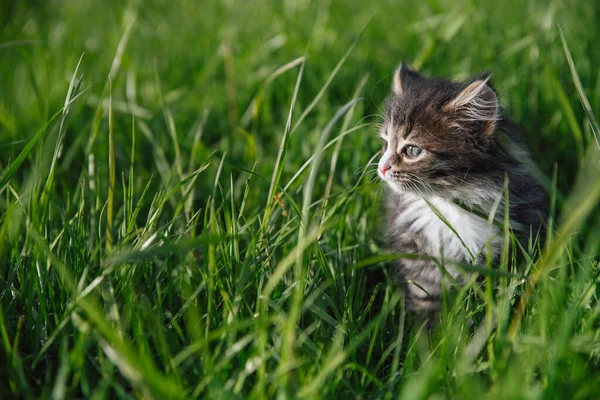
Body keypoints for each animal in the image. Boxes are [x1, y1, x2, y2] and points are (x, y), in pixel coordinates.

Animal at [380, 64, 548, 316]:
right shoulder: (417, 253)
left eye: (412, 151)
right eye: (385, 144)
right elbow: (424, 297)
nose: (381, 167)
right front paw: (426, 327)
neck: (449, 203)